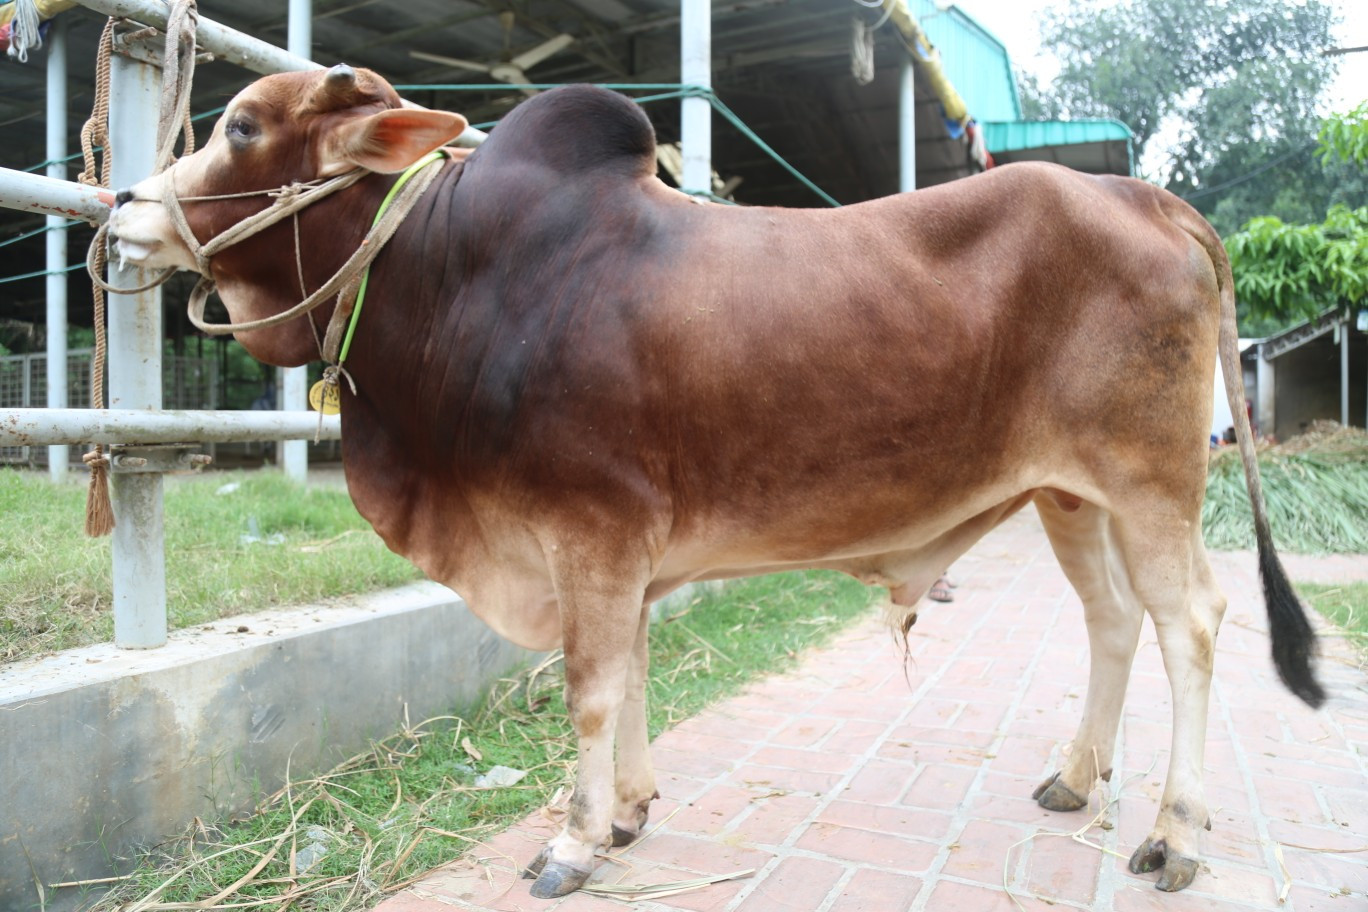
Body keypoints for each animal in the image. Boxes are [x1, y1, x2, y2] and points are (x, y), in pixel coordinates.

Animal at [106, 65, 1323, 899]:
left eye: (240, 125)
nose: (120, 210)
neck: (456, 274)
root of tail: (1151, 200)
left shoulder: (589, 531)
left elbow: (591, 690)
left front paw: (574, 841)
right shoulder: (619, 550)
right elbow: (633, 671)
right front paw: (629, 811)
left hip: (1153, 485)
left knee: (1192, 623)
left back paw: (1174, 832)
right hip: (1073, 495)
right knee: (1113, 620)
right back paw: (1078, 777)